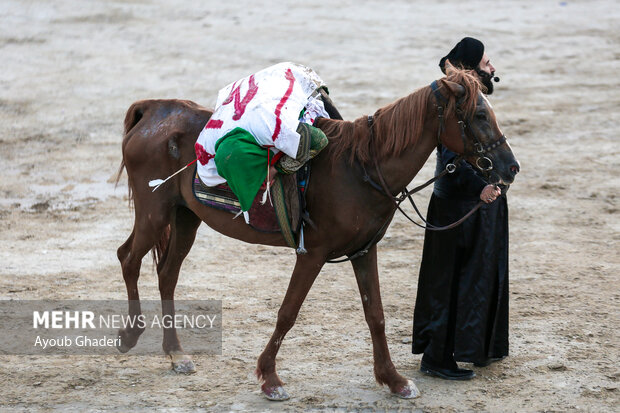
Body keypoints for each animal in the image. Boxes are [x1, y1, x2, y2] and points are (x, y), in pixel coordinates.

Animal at [115, 67, 520, 400]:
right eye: (480, 115)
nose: (511, 167)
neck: (361, 167)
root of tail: (154, 109)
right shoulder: (312, 254)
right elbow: (287, 313)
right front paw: (270, 378)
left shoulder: (363, 251)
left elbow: (376, 315)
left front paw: (393, 380)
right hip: (154, 213)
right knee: (129, 258)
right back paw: (131, 334)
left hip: (185, 217)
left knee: (166, 274)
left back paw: (175, 353)